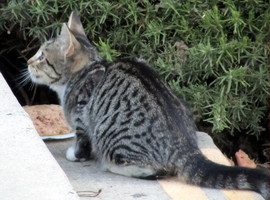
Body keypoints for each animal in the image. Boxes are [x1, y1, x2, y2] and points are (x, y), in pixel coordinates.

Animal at [26, 12, 268, 198]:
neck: (87, 71)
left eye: (41, 56)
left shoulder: (82, 119)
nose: (28, 61)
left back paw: (111, 164)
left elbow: (82, 144)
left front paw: (75, 155)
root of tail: (185, 146)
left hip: (109, 133)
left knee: (153, 169)